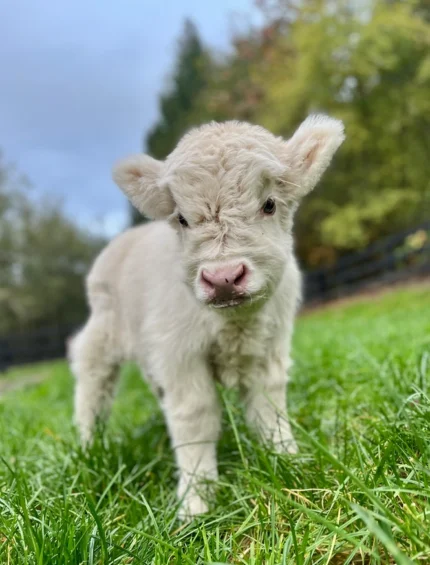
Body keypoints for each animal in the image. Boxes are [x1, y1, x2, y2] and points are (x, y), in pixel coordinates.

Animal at [71, 113, 346, 516]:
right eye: (183, 219)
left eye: (269, 204)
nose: (223, 278)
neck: (235, 324)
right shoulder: (179, 353)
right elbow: (195, 416)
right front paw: (196, 501)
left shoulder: (270, 346)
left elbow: (268, 405)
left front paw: (288, 460)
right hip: (103, 333)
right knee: (93, 380)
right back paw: (90, 444)